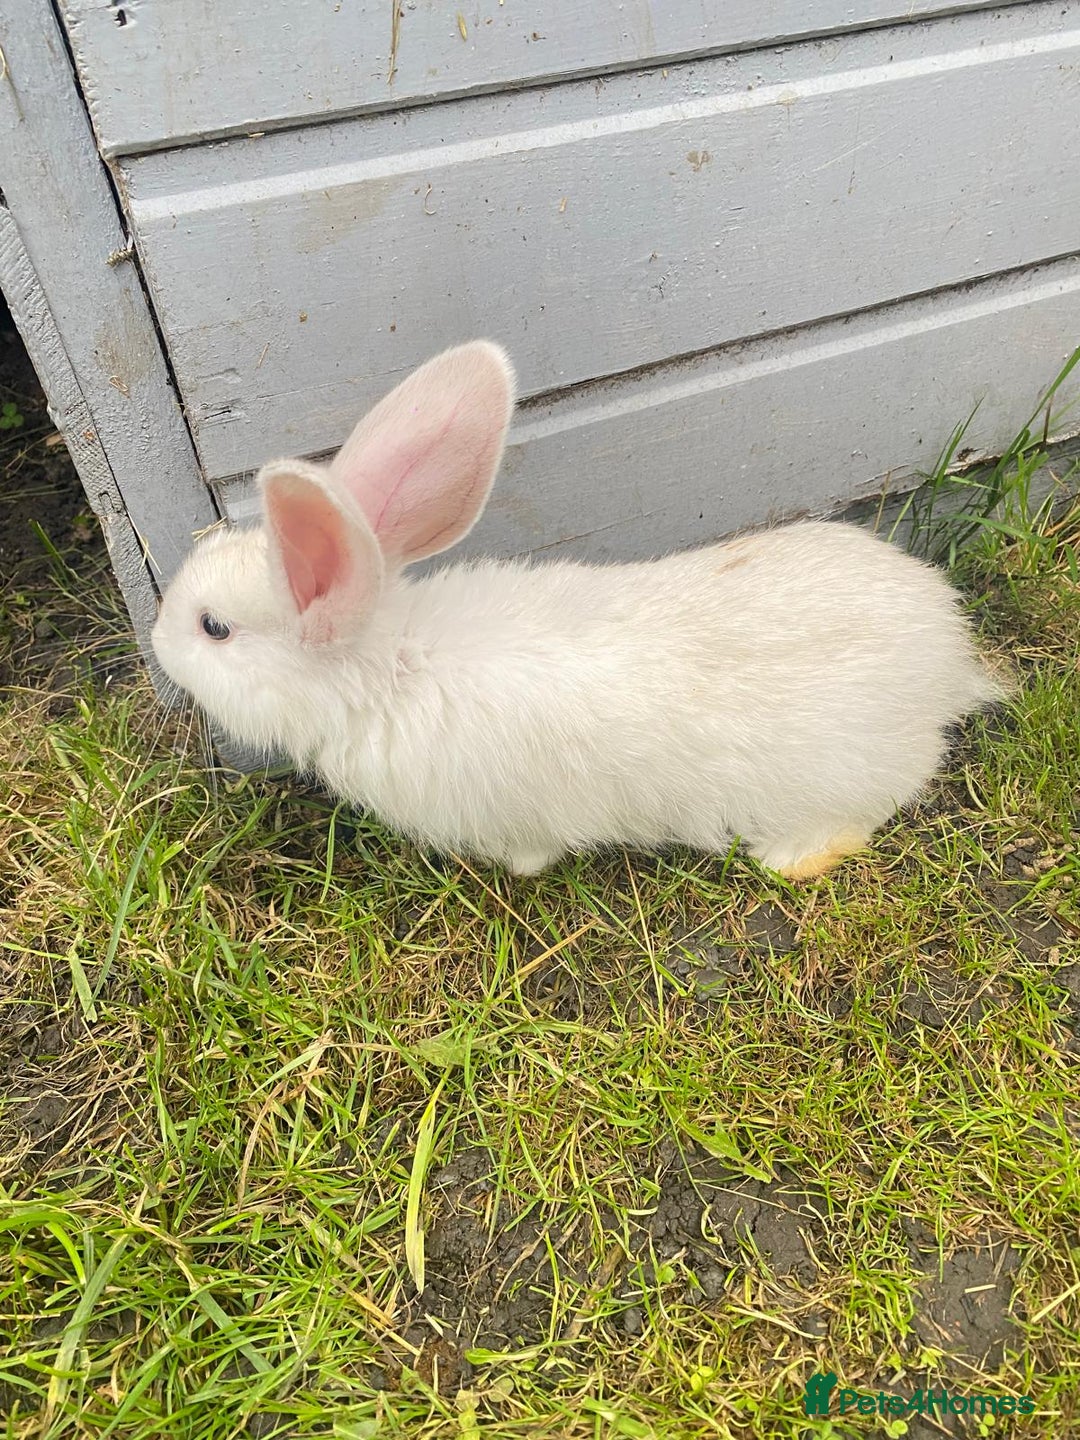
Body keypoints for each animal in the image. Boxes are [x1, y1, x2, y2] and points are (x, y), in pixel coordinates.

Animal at [151, 340, 1003, 879]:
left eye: (214, 628)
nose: (154, 641)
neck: (389, 669)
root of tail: (950, 659)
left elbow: (531, 853)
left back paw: (792, 861)